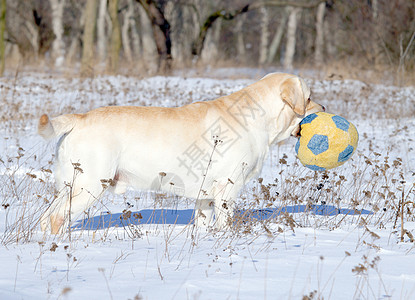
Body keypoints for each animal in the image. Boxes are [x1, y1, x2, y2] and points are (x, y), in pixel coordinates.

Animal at [38, 73, 324, 234]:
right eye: (309, 97)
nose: (323, 107)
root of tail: (80, 118)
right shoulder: (227, 187)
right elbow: (225, 222)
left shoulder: (206, 196)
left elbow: (204, 223)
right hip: (91, 184)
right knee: (57, 216)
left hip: (69, 184)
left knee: (46, 216)